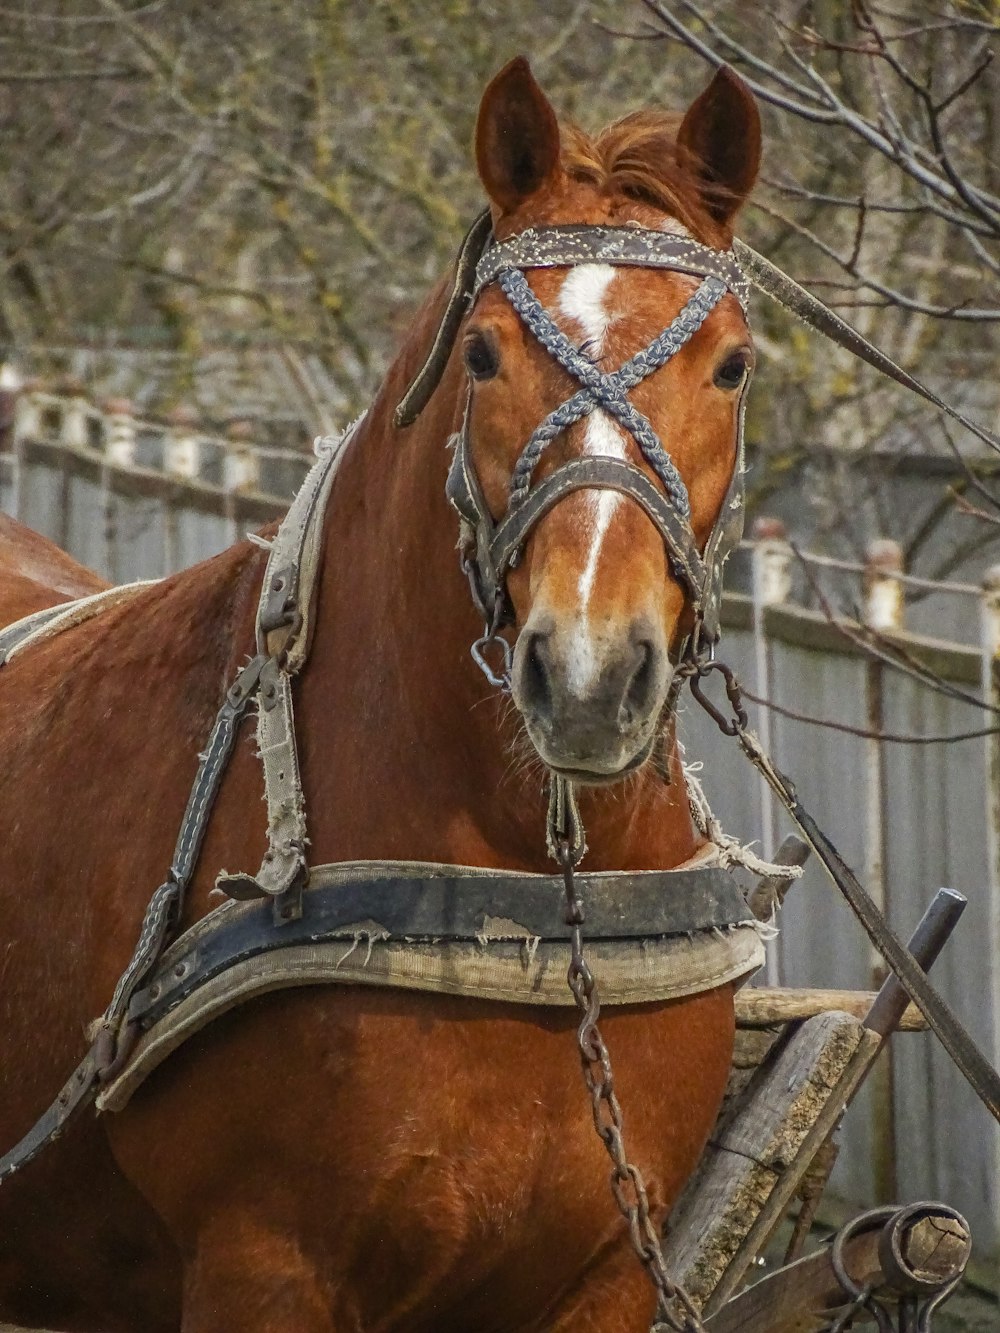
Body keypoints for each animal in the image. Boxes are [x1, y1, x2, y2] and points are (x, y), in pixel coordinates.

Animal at [0, 57, 757, 1333]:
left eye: (734, 363)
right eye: (484, 356)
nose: (590, 673)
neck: (515, 915)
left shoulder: (609, 1273)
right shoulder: (267, 1268)